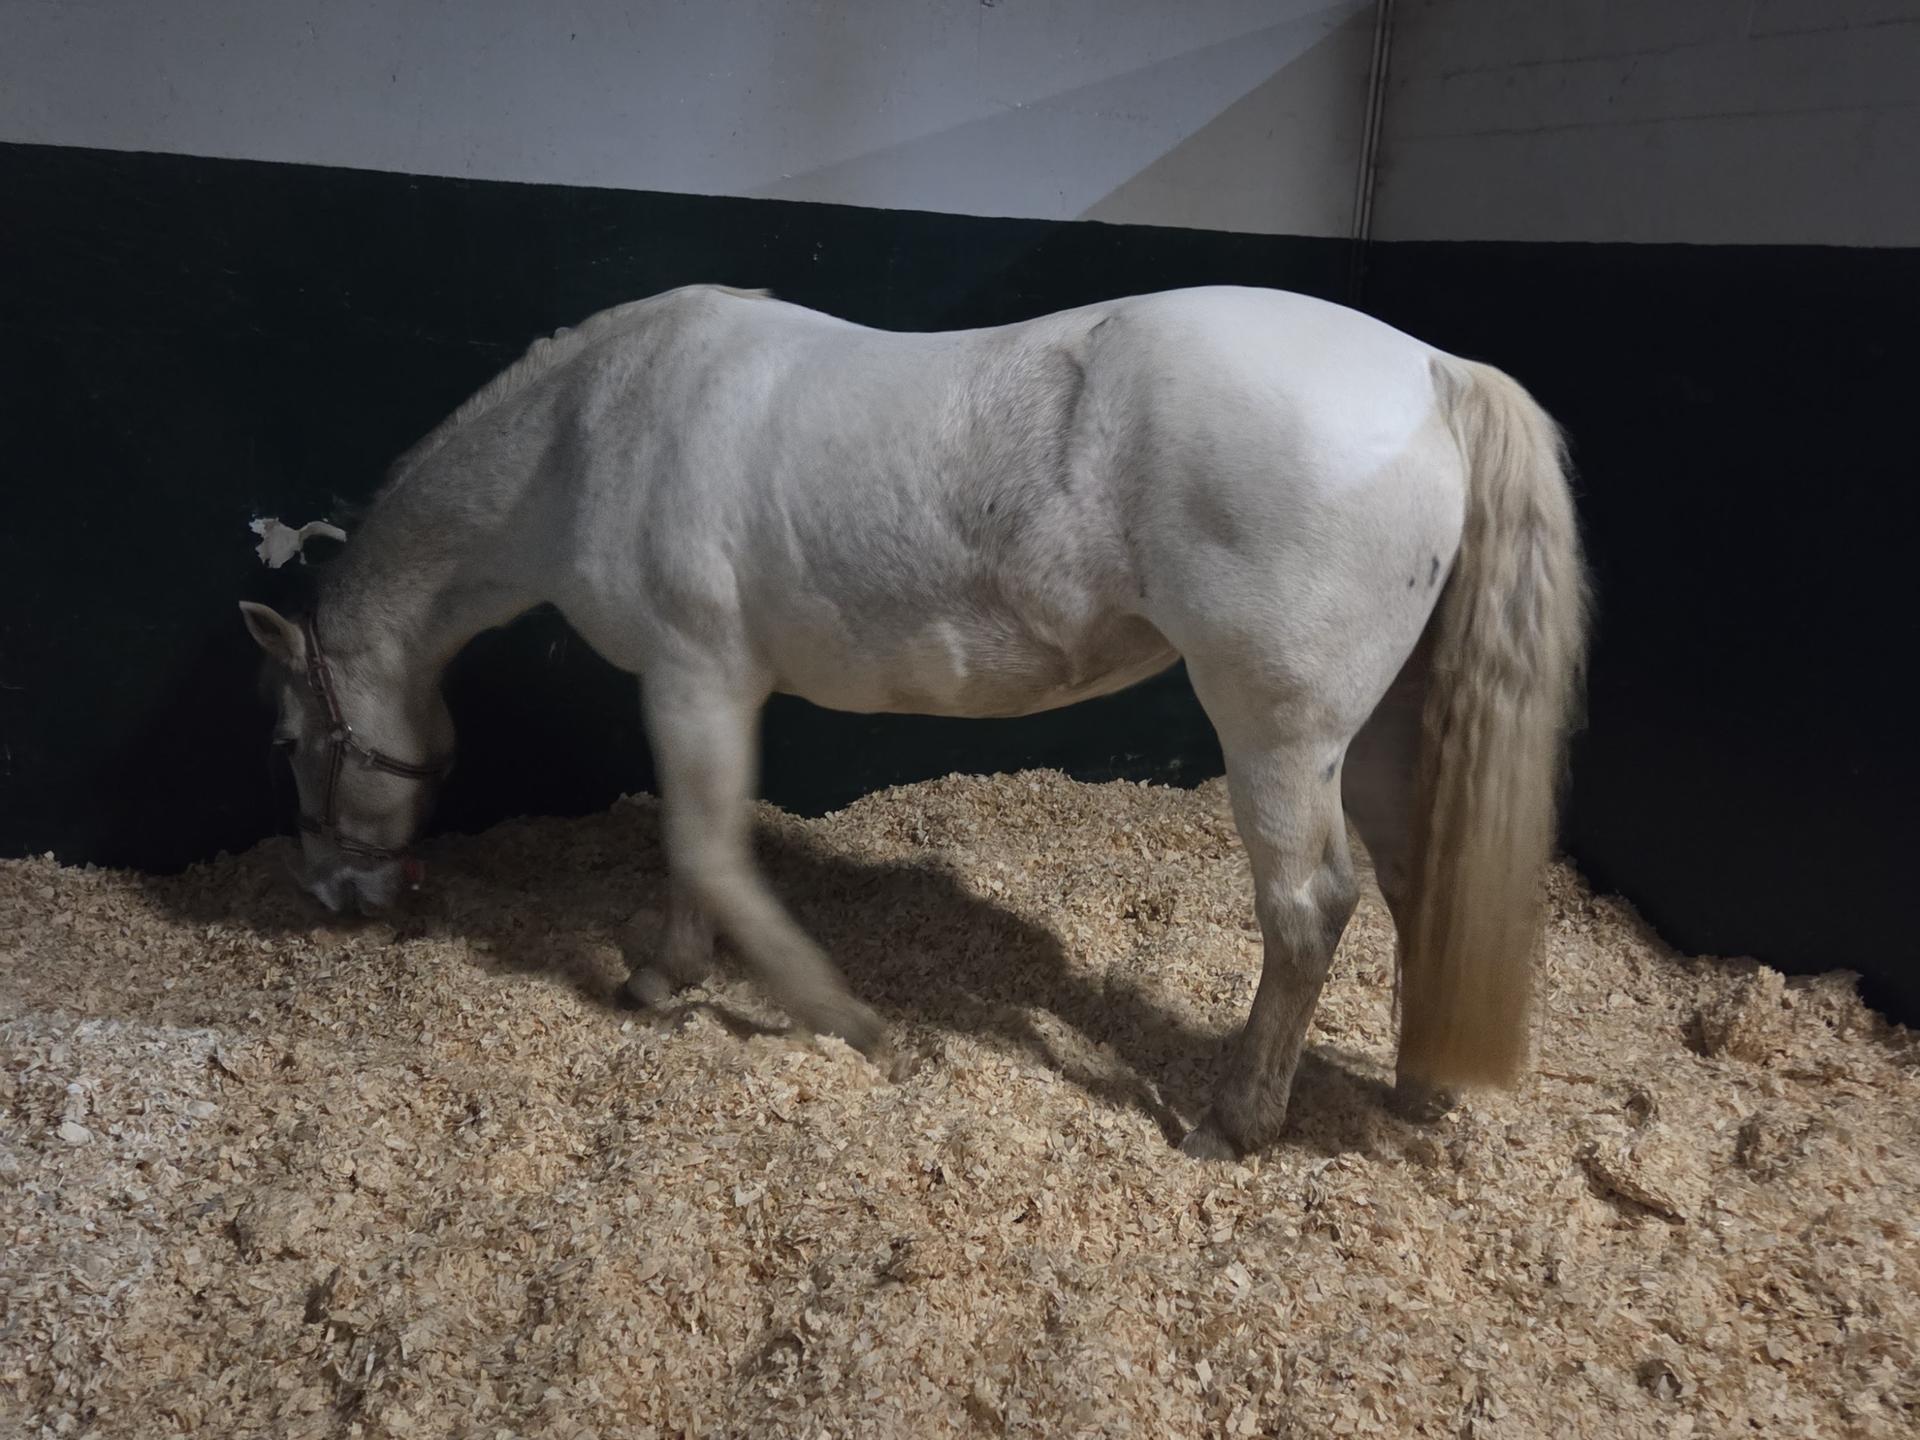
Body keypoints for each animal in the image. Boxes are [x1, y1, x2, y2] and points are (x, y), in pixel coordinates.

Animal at [239, 283, 1587, 1159]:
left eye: (291, 745)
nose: (335, 894)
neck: (590, 431)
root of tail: (1430, 371)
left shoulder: (692, 677)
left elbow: (706, 850)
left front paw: (809, 1012)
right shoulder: (701, 688)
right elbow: (695, 850)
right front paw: (677, 971)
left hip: (1282, 736)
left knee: (1309, 908)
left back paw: (1236, 1122)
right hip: (1386, 733)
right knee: (1416, 877)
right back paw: (1420, 1090)